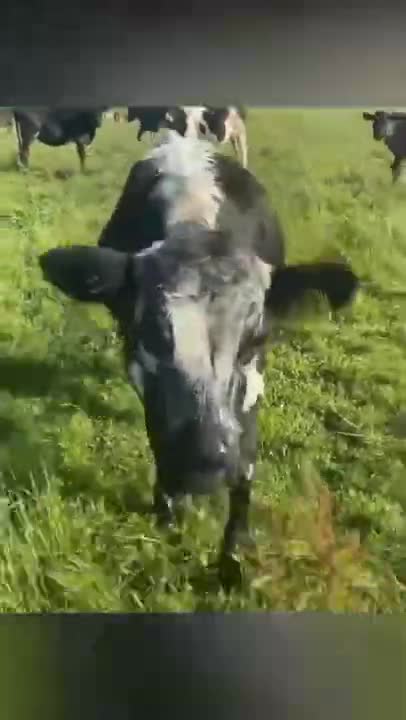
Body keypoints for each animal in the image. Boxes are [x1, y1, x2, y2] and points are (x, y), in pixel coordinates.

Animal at [39, 131, 359, 587]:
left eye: (255, 339)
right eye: (147, 333)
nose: (204, 462)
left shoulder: (253, 382)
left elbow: (246, 460)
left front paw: (234, 553)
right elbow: (158, 438)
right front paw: (167, 512)